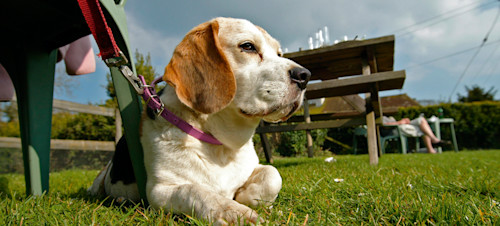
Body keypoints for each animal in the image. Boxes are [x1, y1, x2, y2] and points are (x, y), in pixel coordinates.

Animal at [88, 17, 310, 224]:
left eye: (279, 53)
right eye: (248, 46)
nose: (305, 76)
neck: (221, 146)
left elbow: (273, 174)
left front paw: (246, 196)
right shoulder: (160, 191)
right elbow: (195, 191)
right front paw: (235, 213)